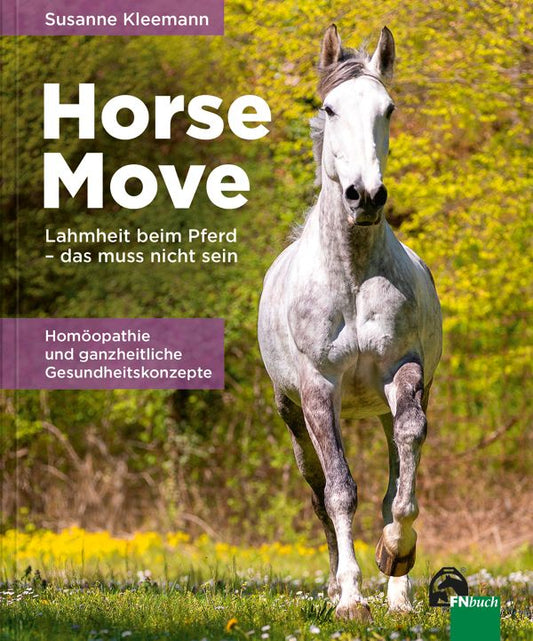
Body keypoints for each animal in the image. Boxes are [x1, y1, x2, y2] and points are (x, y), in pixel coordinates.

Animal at [258, 25, 442, 621]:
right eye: (330, 107)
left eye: (389, 108)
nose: (365, 195)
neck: (353, 275)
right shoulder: (318, 389)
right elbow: (339, 490)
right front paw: (351, 599)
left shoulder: (404, 373)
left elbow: (400, 479)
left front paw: (395, 560)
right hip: (293, 415)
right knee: (318, 492)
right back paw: (339, 586)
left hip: (380, 406)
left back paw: (399, 597)